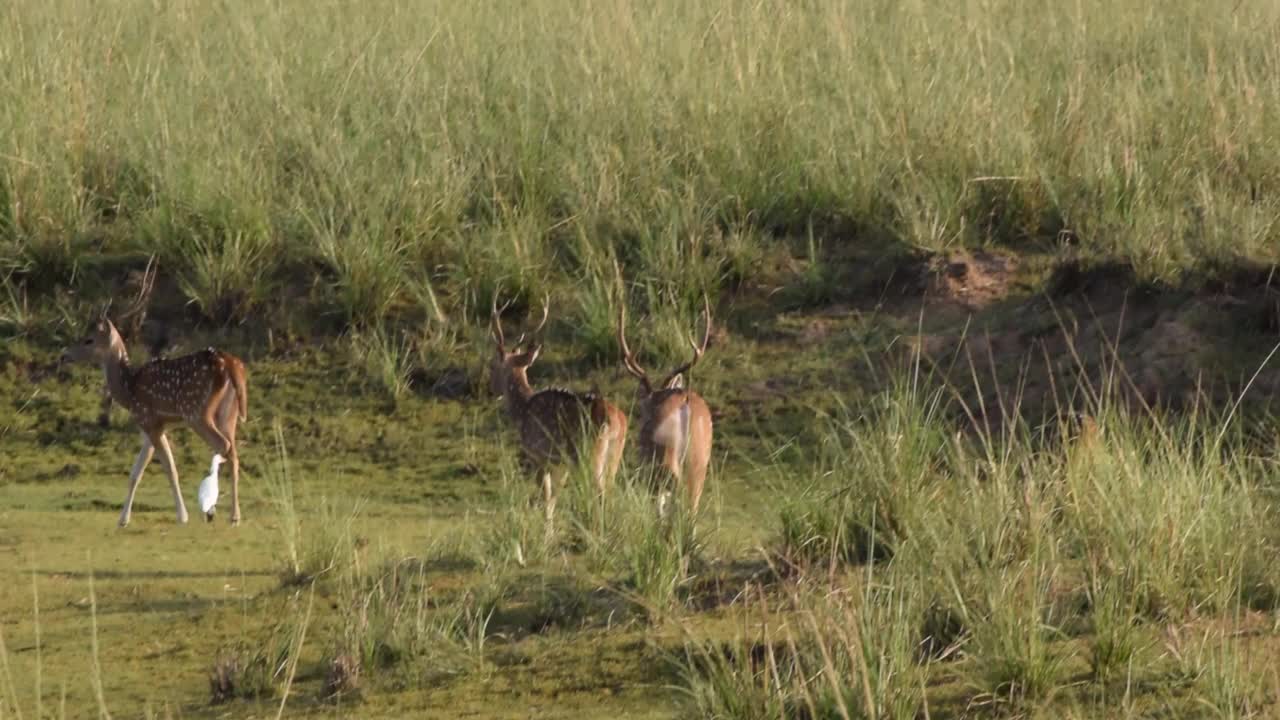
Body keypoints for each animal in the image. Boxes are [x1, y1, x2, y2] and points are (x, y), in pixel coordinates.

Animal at [60, 310, 249, 527]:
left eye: (89, 339)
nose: (64, 355)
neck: (128, 391)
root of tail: (231, 364)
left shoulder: (148, 420)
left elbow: (170, 468)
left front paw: (182, 516)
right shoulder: (153, 427)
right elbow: (136, 472)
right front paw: (123, 519)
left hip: (196, 412)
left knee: (223, 445)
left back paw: (214, 511)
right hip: (228, 414)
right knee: (233, 451)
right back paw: (234, 516)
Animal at [486, 288, 627, 530]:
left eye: (492, 365)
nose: (490, 389)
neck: (522, 411)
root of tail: (616, 420)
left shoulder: (538, 455)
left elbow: (546, 498)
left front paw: (546, 533)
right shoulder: (561, 464)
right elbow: (553, 498)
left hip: (590, 452)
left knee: (599, 491)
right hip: (615, 452)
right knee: (609, 490)